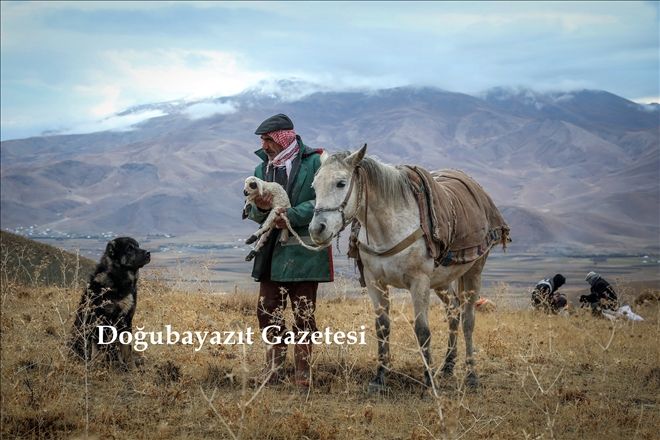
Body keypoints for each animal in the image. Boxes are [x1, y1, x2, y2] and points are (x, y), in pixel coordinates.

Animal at [70, 237, 152, 368]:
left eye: (138, 246)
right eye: (129, 248)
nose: (148, 253)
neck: (118, 279)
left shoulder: (126, 321)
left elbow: (127, 349)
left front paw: (131, 368)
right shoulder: (99, 320)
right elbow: (97, 350)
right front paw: (97, 366)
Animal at [310, 145, 510, 392]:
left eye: (340, 183)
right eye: (314, 186)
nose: (317, 229)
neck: (389, 227)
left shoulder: (419, 282)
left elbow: (422, 330)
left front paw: (428, 381)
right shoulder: (375, 282)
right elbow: (382, 326)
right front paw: (379, 378)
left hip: (474, 272)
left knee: (468, 320)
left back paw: (471, 376)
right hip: (442, 281)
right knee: (453, 311)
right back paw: (448, 366)